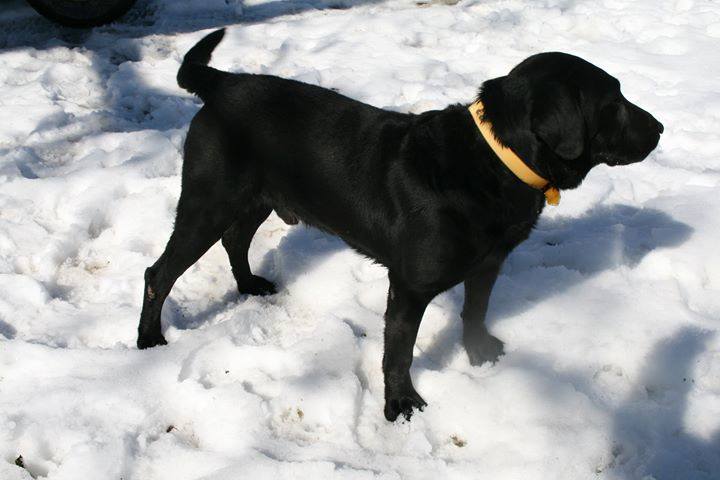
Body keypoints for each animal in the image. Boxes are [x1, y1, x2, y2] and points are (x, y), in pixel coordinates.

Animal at [138, 28, 668, 422]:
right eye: (614, 101)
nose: (661, 128)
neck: (495, 160)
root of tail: (222, 84)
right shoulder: (410, 286)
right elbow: (400, 351)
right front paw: (401, 404)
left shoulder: (488, 263)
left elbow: (475, 311)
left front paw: (478, 352)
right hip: (209, 201)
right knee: (158, 273)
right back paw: (149, 341)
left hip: (256, 199)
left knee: (235, 240)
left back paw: (249, 285)